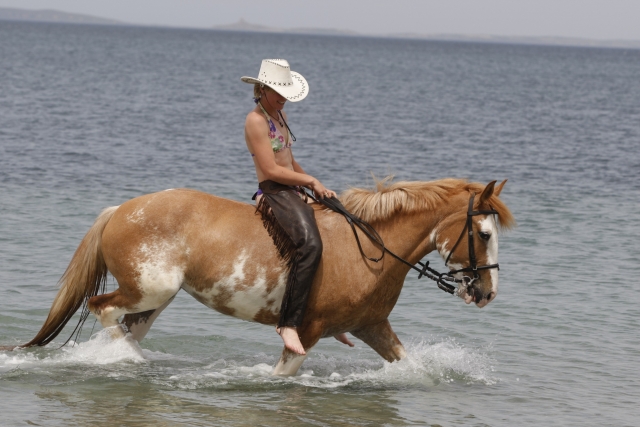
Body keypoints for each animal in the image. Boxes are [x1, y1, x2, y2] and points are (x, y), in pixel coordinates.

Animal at [5, 178, 514, 376]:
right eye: (484, 233)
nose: (487, 293)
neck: (371, 250)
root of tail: (121, 209)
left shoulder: (372, 327)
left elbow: (412, 367)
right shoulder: (306, 332)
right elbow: (282, 375)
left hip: (157, 298)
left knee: (127, 324)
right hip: (150, 289)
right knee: (103, 309)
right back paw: (128, 360)